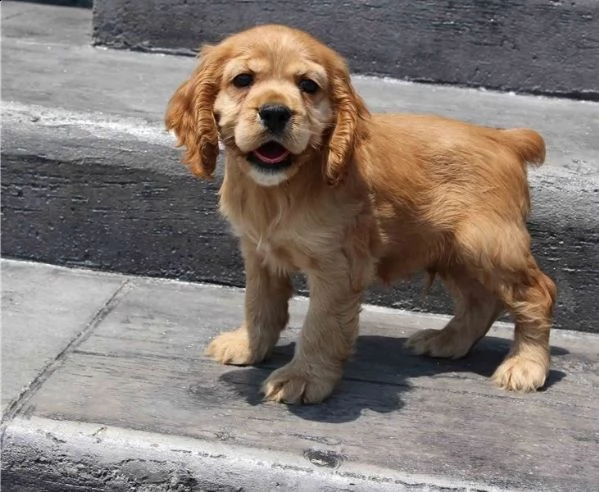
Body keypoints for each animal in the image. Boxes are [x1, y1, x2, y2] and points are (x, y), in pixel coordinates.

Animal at [165, 24, 556, 404]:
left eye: (308, 86)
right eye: (243, 80)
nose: (275, 112)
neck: (282, 188)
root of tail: (505, 140)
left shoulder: (338, 265)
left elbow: (321, 324)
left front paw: (303, 378)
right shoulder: (258, 252)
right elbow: (259, 303)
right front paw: (247, 345)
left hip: (488, 245)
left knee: (539, 292)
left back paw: (525, 366)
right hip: (454, 252)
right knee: (481, 301)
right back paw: (446, 342)